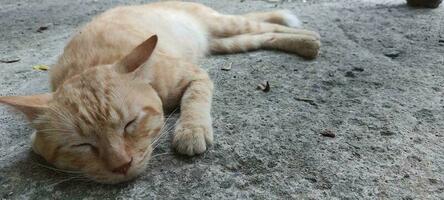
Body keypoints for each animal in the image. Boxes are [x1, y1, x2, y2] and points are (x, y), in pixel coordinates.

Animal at [0, 0, 320, 184]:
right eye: (81, 145)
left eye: (130, 124)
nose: (122, 165)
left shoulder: (196, 76)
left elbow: (194, 100)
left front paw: (191, 130)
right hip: (225, 42)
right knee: (262, 35)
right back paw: (306, 43)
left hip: (225, 25)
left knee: (263, 23)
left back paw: (310, 38)